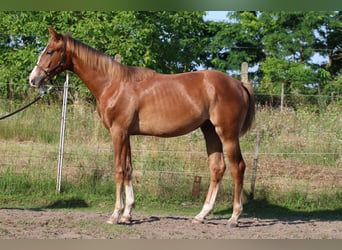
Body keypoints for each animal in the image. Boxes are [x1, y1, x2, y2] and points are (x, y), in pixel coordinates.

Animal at [29, 26, 254, 228]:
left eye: (49, 51)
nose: (33, 79)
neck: (114, 84)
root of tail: (238, 84)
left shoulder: (118, 132)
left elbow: (119, 170)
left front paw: (115, 215)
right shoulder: (126, 134)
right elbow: (129, 169)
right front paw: (127, 214)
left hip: (227, 134)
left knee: (238, 167)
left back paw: (234, 217)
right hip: (210, 132)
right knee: (217, 168)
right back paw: (201, 215)